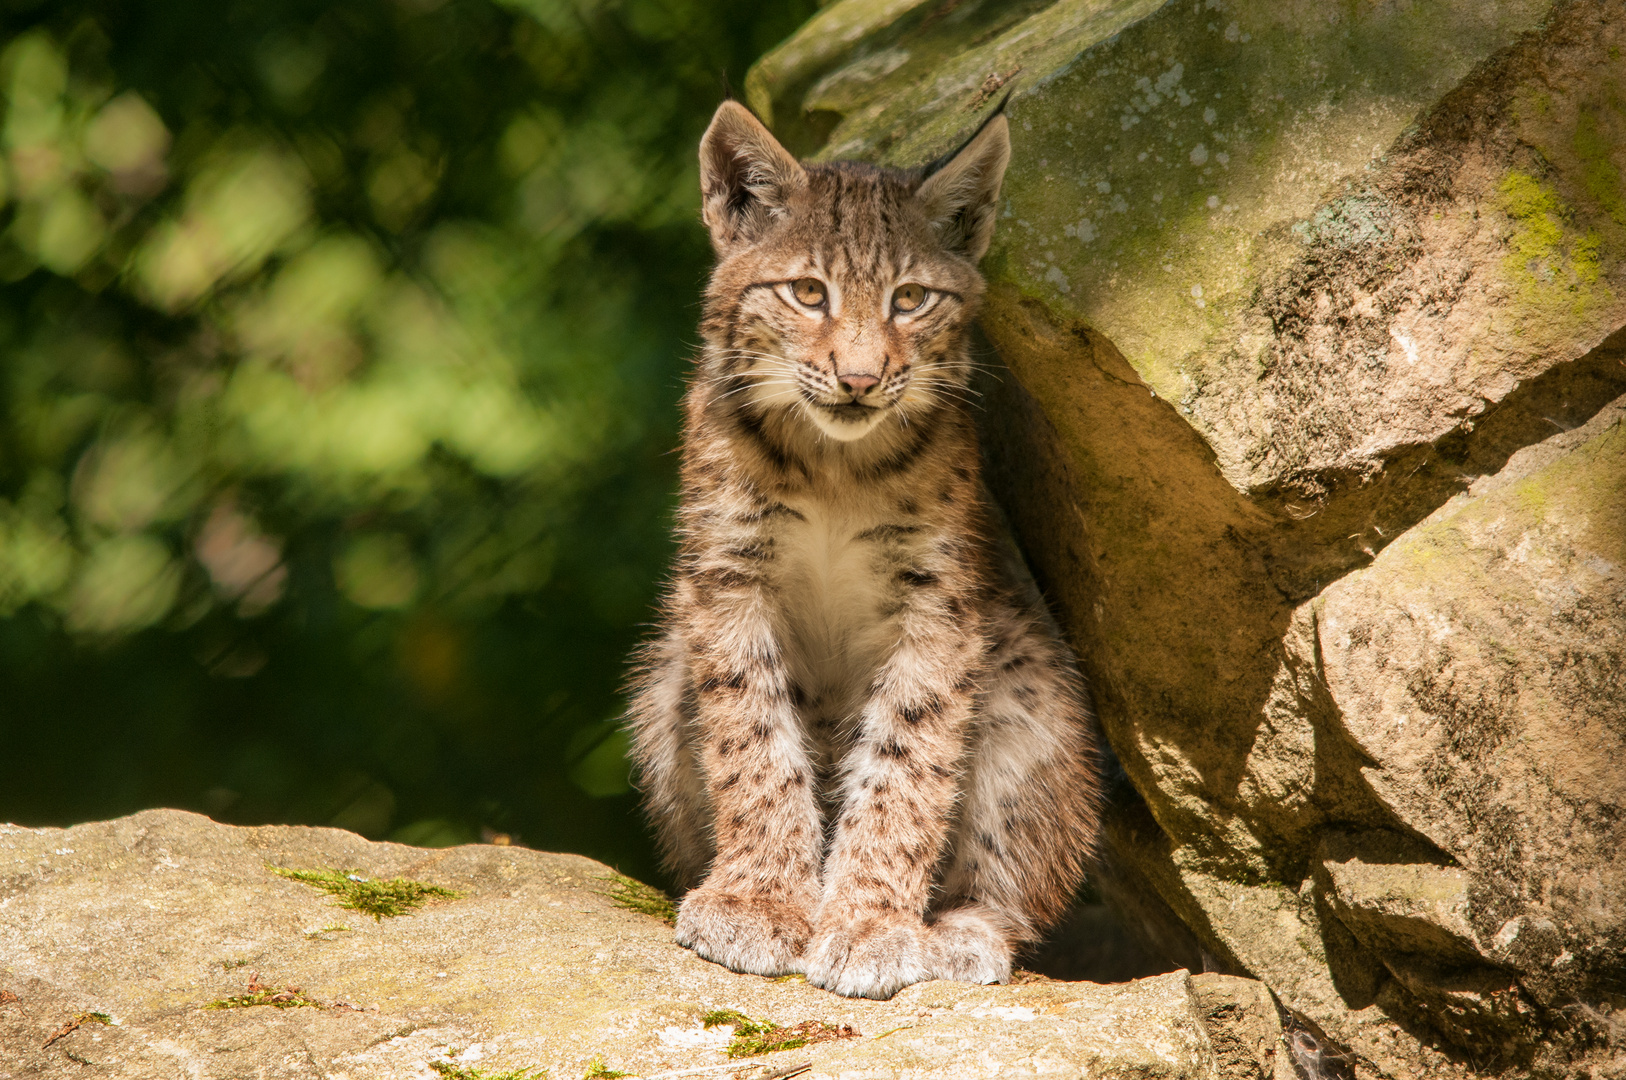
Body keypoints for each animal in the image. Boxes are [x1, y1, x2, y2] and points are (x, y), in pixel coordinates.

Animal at [624, 103, 1105, 1001]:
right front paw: (760, 901)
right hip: (665, 666)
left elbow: (906, 768)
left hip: (1031, 679)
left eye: (910, 300)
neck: (832, 463)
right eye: (808, 293)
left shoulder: (937, 606)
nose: (858, 380)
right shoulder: (728, 582)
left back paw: (963, 933)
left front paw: (871, 924)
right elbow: (753, 746)